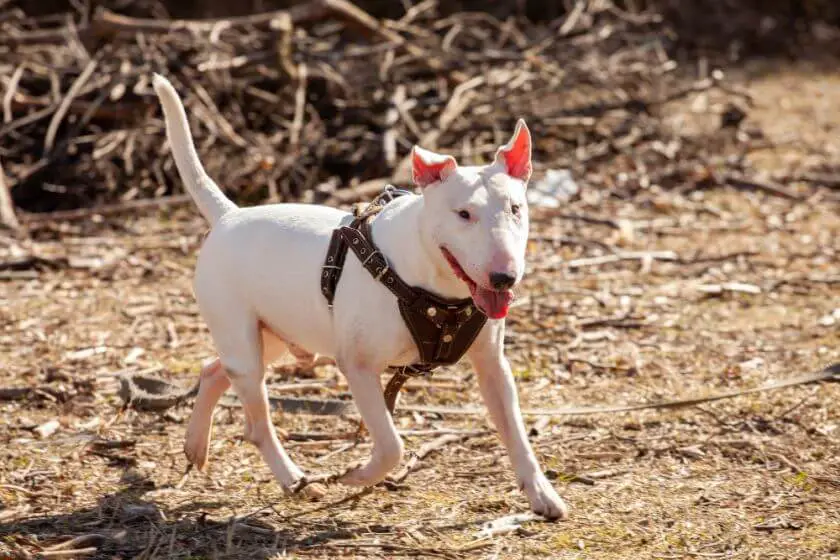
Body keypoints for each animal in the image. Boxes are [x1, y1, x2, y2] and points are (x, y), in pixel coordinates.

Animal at [154, 74, 568, 520]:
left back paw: (195, 445)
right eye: (463, 214)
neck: (430, 279)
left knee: (213, 370)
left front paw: (541, 494)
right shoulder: (358, 365)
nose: (504, 278)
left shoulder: (492, 365)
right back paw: (293, 479)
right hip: (244, 344)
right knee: (256, 422)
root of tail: (229, 215)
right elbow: (391, 445)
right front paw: (357, 475)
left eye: (516, 208)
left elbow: (516, 431)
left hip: (274, 335)